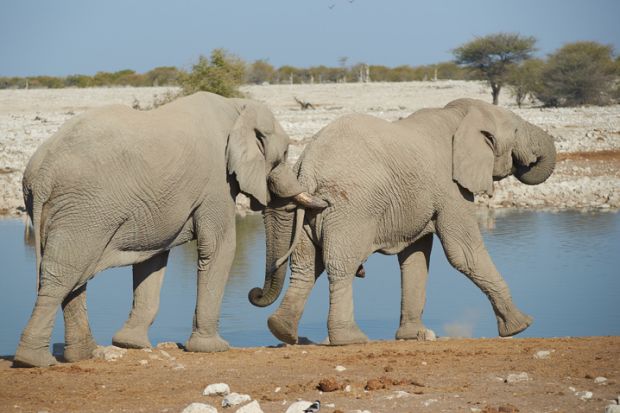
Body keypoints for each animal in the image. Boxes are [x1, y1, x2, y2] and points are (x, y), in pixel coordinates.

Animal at [14, 91, 326, 366]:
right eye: (283, 155)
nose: (254, 293)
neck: (237, 107)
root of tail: (42, 172)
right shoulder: (216, 181)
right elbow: (221, 246)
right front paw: (212, 348)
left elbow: (152, 259)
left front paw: (130, 344)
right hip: (85, 208)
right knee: (64, 273)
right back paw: (33, 360)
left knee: (76, 274)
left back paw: (83, 355)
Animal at [248, 97, 556, 344]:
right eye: (516, 130)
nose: (527, 161)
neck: (458, 115)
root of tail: (308, 167)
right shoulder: (450, 188)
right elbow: (463, 252)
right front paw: (521, 326)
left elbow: (415, 256)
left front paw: (413, 336)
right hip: (351, 210)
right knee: (341, 265)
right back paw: (350, 339)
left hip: (306, 214)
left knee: (306, 266)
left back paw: (282, 331)